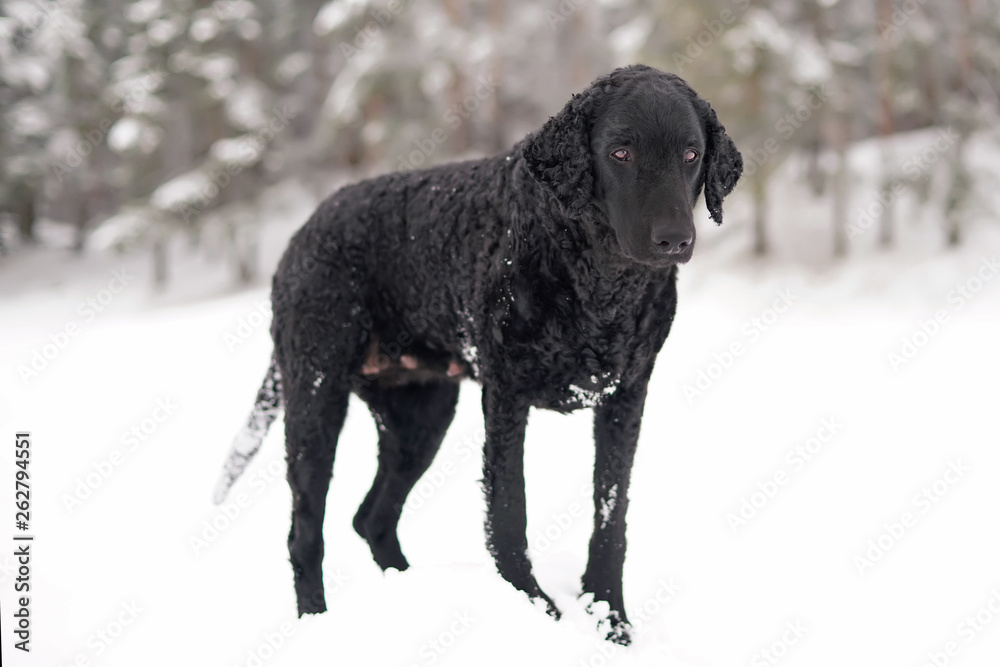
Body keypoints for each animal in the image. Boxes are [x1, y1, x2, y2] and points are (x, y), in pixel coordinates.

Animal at [213, 65, 744, 644]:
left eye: (691, 154)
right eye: (620, 152)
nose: (675, 240)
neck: (598, 283)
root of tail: (301, 234)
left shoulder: (626, 396)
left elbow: (611, 516)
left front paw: (611, 621)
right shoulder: (506, 397)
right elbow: (509, 512)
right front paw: (537, 612)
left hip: (421, 417)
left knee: (371, 518)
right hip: (316, 398)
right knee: (306, 533)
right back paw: (316, 621)